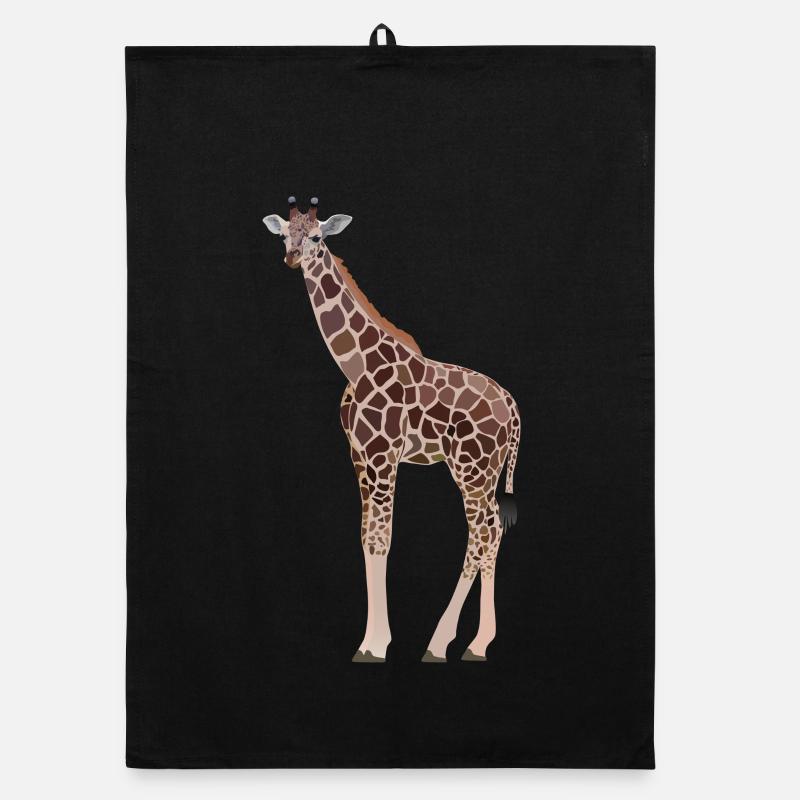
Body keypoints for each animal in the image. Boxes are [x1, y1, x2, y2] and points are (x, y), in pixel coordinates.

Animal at [263, 197, 521, 663]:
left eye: (318, 237)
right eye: (284, 235)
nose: (292, 258)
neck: (355, 364)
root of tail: (512, 409)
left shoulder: (384, 456)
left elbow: (382, 539)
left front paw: (375, 645)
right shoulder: (359, 458)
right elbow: (366, 536)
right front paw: (370, 640)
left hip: (472, 468)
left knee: (483, 532)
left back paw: (452, 643)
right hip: (484, 471)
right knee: (488, 532)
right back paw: (468, 642)